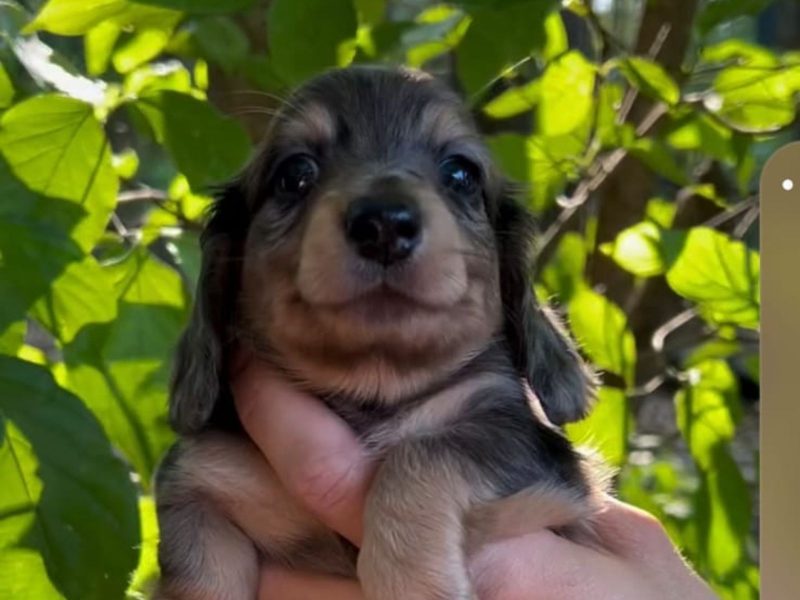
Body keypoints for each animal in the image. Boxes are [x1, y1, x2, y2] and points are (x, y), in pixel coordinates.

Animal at [155, 65, 608, 600]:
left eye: (460, 174)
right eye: (294, 173)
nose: (385, 223)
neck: (370, 392)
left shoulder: (541, 462)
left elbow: (423, 452)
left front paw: (412, 583)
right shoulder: (200, 484)